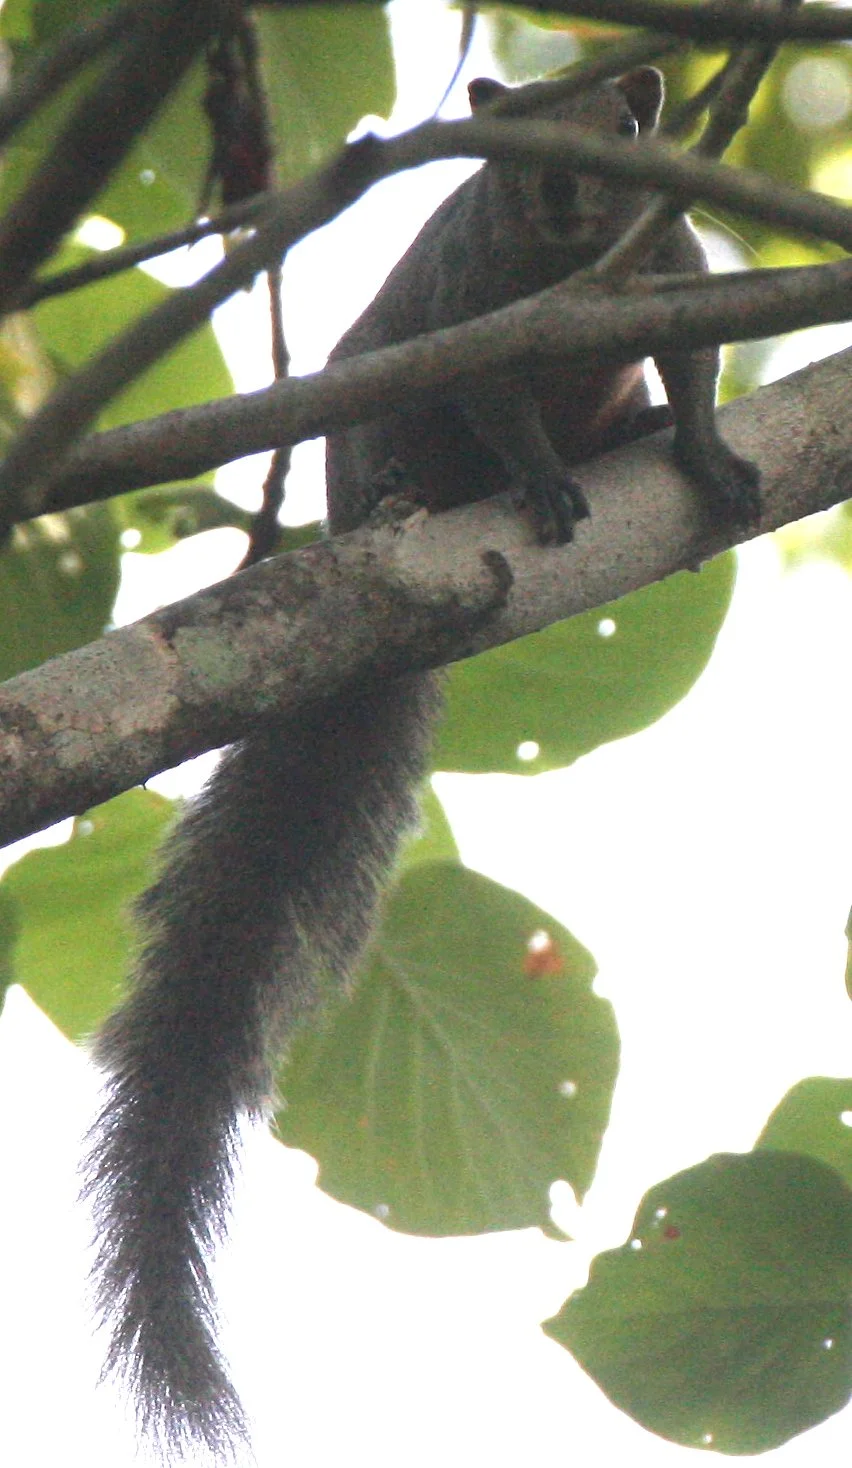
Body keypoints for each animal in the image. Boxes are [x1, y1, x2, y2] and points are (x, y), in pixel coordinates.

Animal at [82, 67, 759, 1460]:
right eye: (515, 131)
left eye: (626, 126)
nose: (562, 189)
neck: (565, 268)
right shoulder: (470, 316)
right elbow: (500, 406)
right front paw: (542, 477)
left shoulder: (674, 273)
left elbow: (697, 365)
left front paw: (707, 445)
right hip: (371, 416)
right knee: (404, 447)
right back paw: (412, 493)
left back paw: (634, 433)